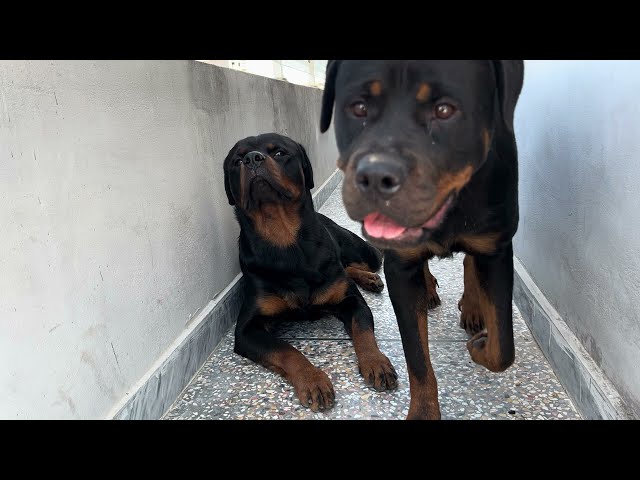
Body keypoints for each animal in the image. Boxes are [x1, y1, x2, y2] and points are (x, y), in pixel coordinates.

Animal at [222, 132, 398, 412]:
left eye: (279, 152)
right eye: (237, 161)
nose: (252, 159)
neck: (284, 240)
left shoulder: (352, 302)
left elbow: (363, 331)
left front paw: (376, 362)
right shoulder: (248, 329)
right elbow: (285, 350)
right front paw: (312, 379)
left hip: (365, 251)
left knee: (356, 262)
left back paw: (370, 277)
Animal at [320, 61, 524, 420]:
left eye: (444, 110)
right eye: (358, 107)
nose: (376, 177)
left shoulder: (496, 249)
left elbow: (503, 348)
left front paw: (481, 343)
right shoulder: (400, 270)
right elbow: (416, 356)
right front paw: (424, 410)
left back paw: (473, 305)